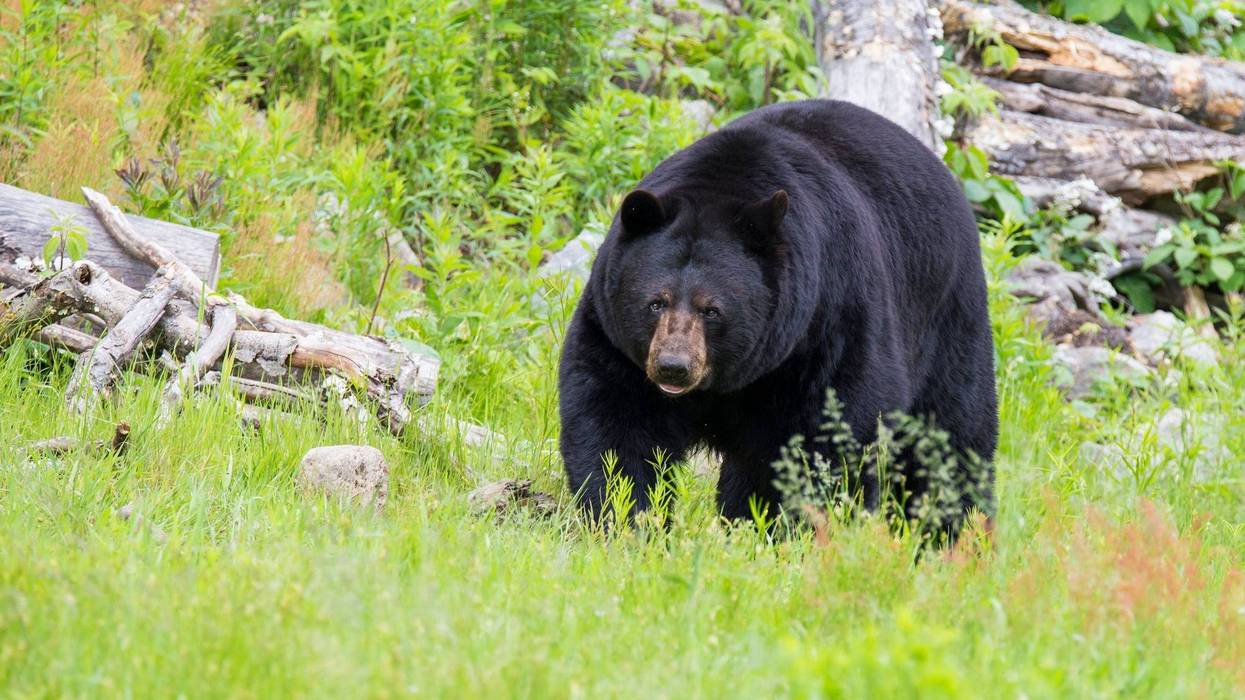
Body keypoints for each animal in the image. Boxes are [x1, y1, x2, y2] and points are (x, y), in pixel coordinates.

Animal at [558, 99, 997, 536]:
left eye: (712, 309)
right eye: (655, 302)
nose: (674, 367)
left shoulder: (828, 322)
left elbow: (828, 431)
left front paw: (787, 525)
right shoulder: (615, 335)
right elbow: (616, 421)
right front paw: (625, 516)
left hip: (947, 315)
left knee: (952, 434)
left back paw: (953, 530)